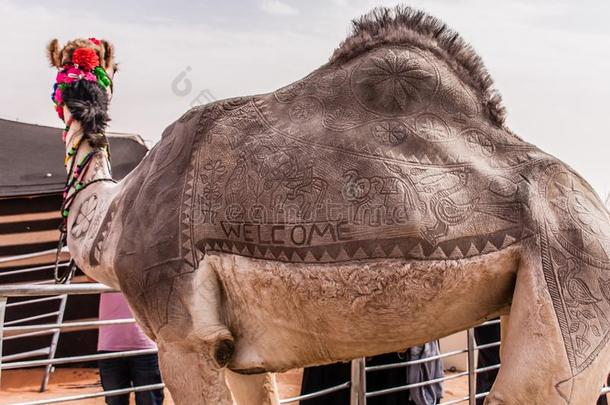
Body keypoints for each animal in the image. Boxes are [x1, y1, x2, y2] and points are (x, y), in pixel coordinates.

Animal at [46, 6, 608, 404]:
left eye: (82, 65)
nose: (82, 99)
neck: (111, 217)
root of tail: (598, 209)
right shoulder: (237, 349)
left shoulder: (182, 334)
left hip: (573, 275)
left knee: (531, 389)